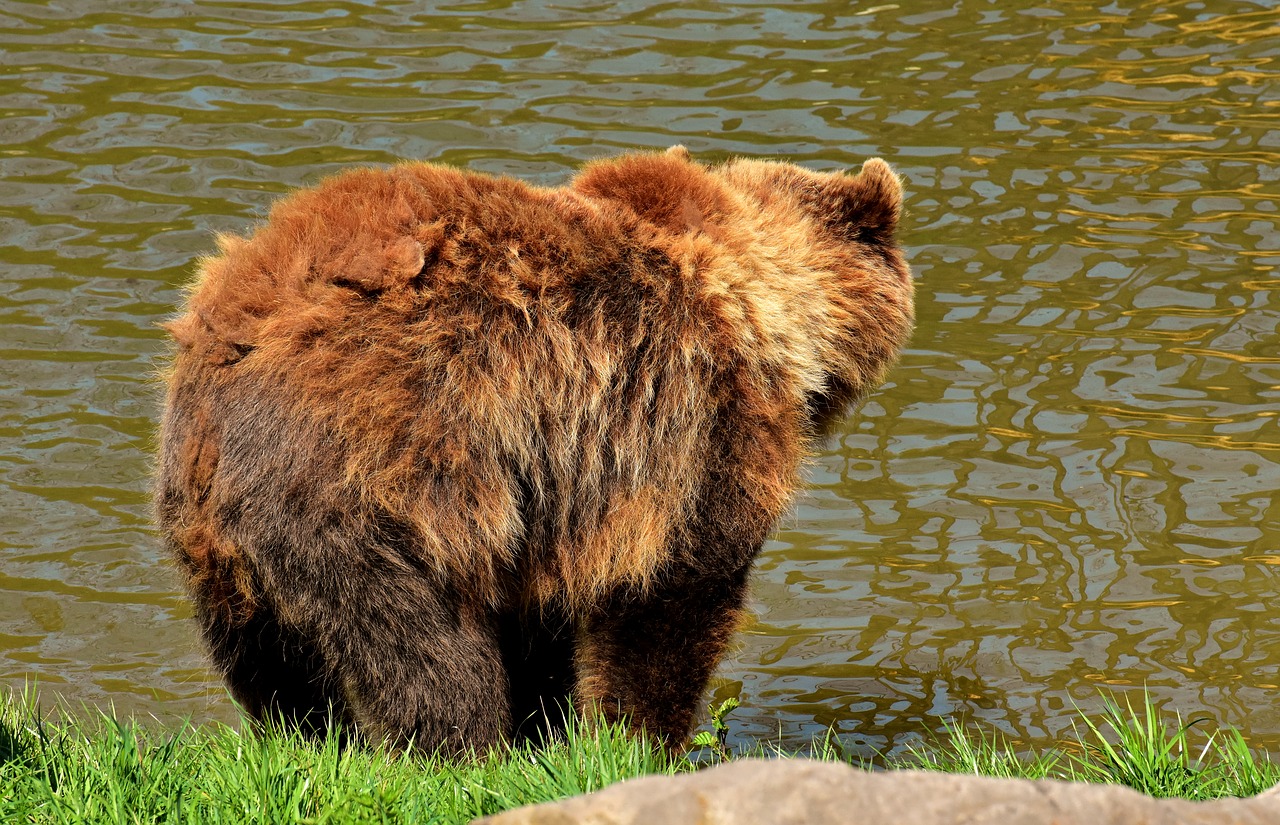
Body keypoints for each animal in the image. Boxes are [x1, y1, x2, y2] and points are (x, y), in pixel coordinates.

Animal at [154, 146, 916, 752]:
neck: (771, 308)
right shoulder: (696, 429)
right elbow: (672, 595)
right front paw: (639, 740)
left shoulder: (550, 489)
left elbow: (540, 616)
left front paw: (548, 727)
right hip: (375, 476)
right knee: (421, 645)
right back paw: (460, 747)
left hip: (209, 526)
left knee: (268, 659)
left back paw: (310, 736)